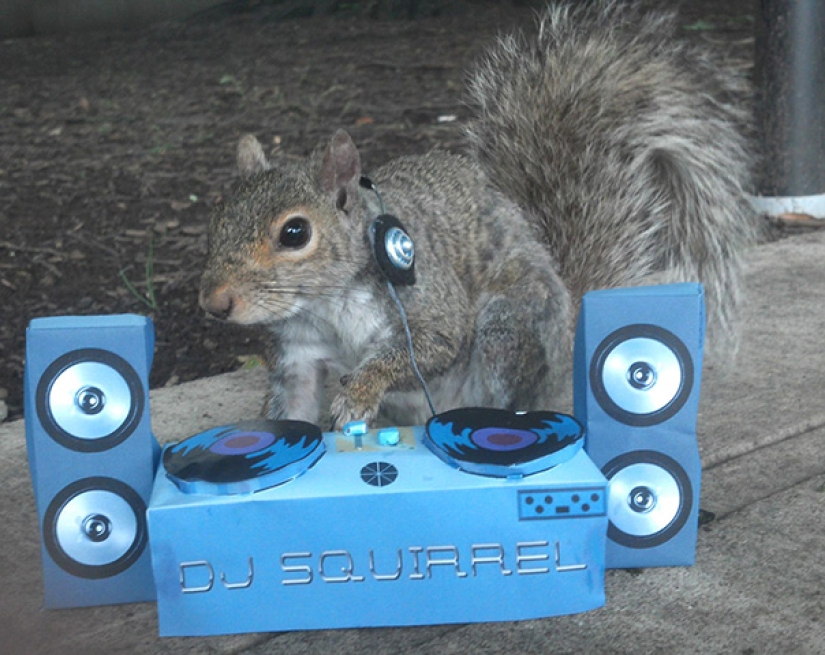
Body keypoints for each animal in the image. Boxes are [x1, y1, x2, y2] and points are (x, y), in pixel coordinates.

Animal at [199, 0, 758, 430]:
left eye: (295, 232)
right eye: (215, 220)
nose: (214, 303)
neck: (327, 304)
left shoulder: (429, 306)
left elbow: (426, 348)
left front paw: (358, 393)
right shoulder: (298, 352)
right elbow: (290, 407)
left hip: (508, 326)